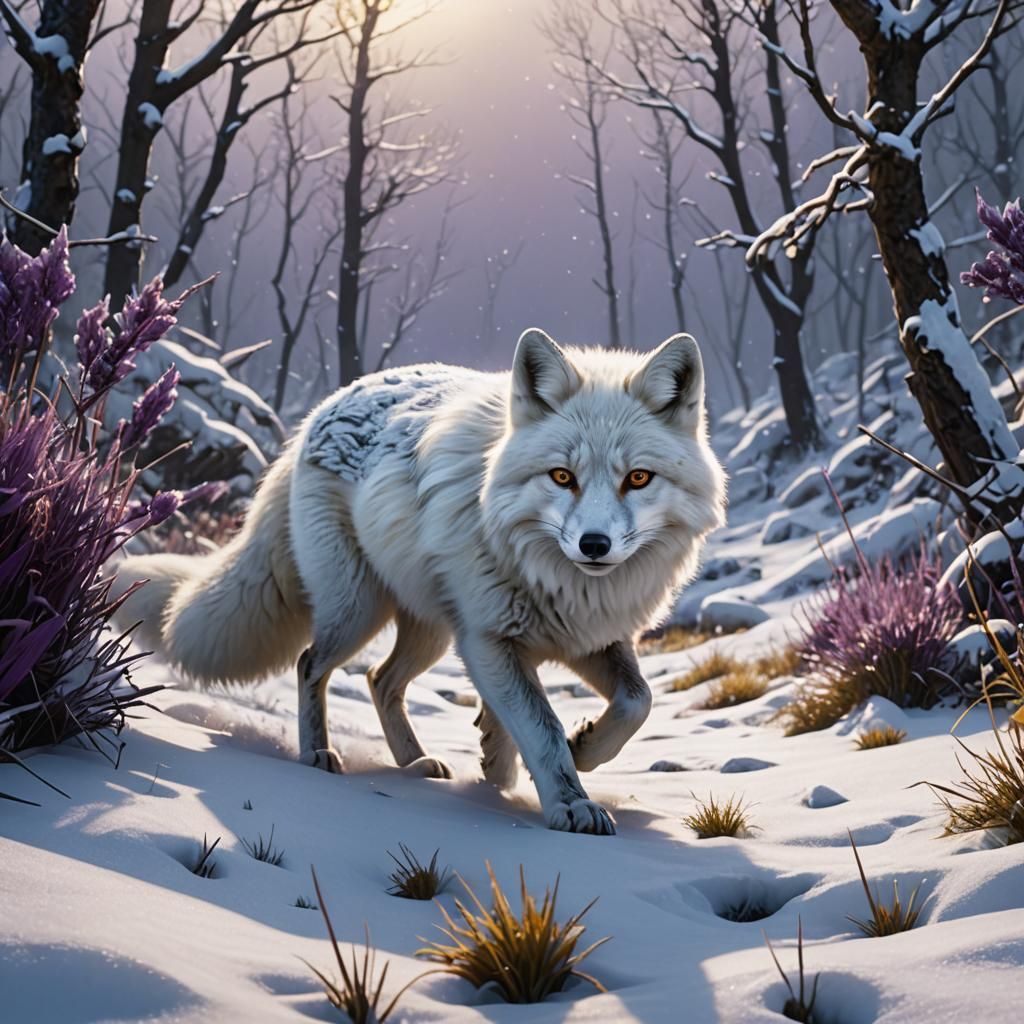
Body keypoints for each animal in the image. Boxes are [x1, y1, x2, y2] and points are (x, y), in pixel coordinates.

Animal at [115, 329, 726, 834]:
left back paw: (415, 766)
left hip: (429, 632)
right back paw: (318, 756)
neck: (561, 578)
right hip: (359, 612)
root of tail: (321, 410)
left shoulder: (586, 637)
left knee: (380, 680)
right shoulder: (488, 640)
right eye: (562, 477)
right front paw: (570, 802)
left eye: (638, 478)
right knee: (311, 664)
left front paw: (563, 752)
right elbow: (542, 727)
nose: (593, 546)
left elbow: (636, 701)